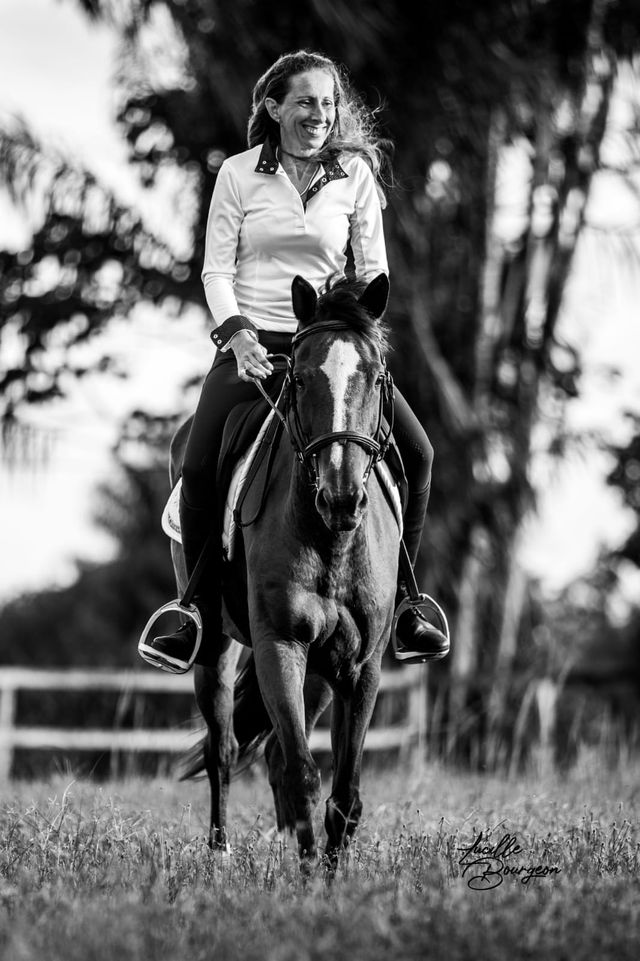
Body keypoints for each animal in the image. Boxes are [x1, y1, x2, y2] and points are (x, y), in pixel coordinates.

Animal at [175, 273, 401, 866]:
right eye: (299, 380)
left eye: (376, 378)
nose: (341, 497)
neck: (332, 541)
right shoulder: (281, 643)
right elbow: (304, 777)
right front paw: (308, 881)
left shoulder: (360, 667)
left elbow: (344, 794)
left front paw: (328, 874)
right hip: (218, 648)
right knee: (224, 748)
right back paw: (222, 852)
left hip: (322, 674)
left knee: (275, 753)